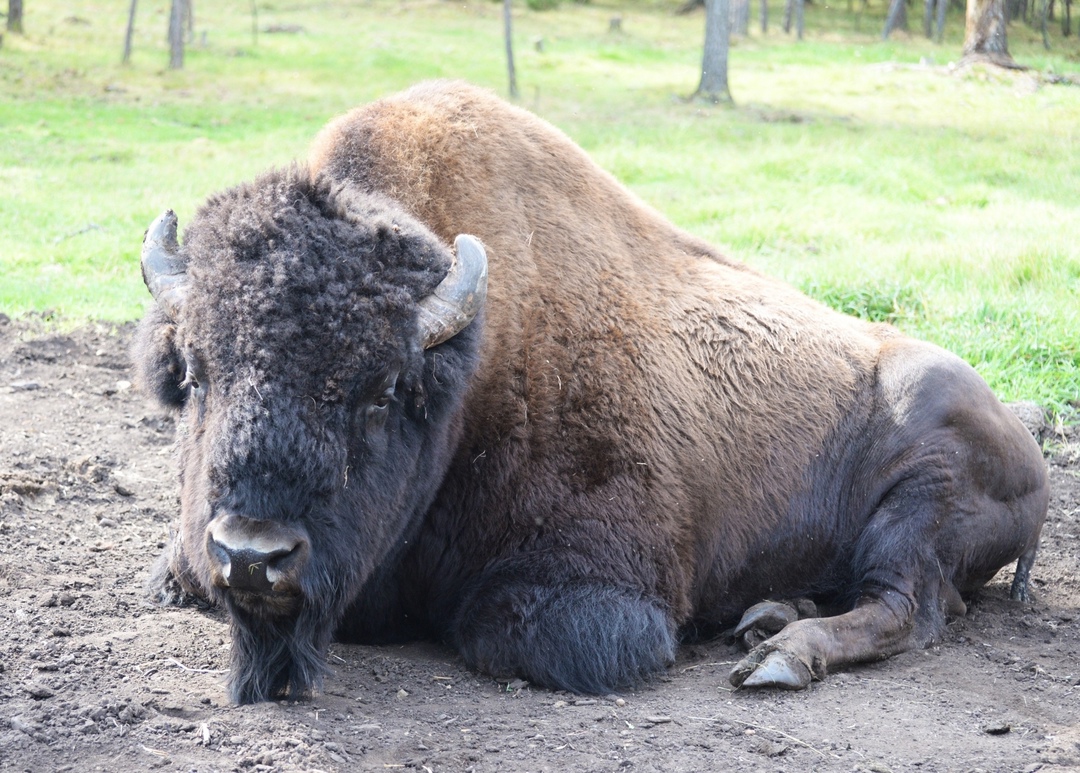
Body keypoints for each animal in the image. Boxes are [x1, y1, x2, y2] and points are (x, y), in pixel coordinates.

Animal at [132, 81, 1045, 703]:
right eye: (196, 373)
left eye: (382, 389)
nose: (253, 553)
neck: (474, 362)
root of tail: (1030, 451)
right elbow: (177, 572)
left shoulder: (599, 594)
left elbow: (511, 631)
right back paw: (764, 617)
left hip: (920, 491)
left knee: (906, 607)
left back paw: (777, 655)